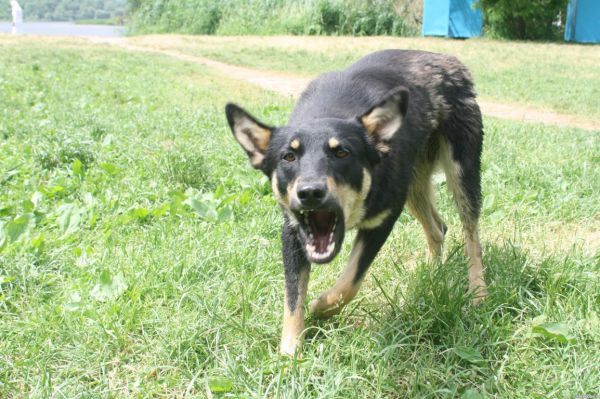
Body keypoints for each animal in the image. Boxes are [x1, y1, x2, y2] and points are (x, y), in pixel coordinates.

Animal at [225, 50, 488, 356]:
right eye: (288, 157)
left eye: (342, 152)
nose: (310, 192)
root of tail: (447, 59)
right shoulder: (292, 230)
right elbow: (292, 297)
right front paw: (289, 352)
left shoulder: (383, 218)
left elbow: (349, 283)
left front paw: (320, 308)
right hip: (413, 184)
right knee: (438, 228)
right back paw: (432, 276)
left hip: (461, 172)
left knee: (471, 237)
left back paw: (478, 292)